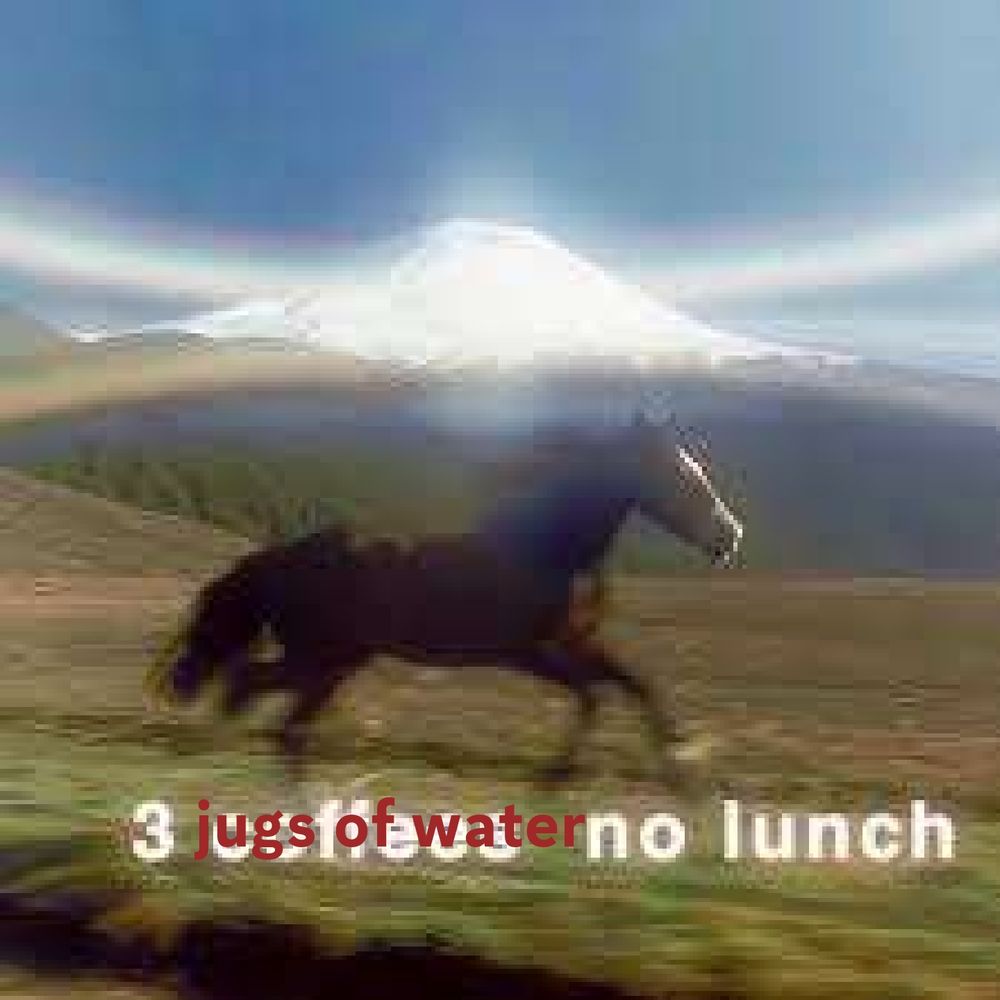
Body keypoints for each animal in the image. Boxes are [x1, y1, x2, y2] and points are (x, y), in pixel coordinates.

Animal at [147, 414, 744, 780]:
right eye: (676, 473)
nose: (730, 536)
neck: (550, 551)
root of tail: (280, 557)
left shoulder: (581, 645)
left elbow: (639, 687)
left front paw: (683, 778)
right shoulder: (531, 654)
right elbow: (593, 697)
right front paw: (550, 783)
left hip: (334, 662)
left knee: (273, 716)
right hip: (318, 657)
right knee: (252, 694)